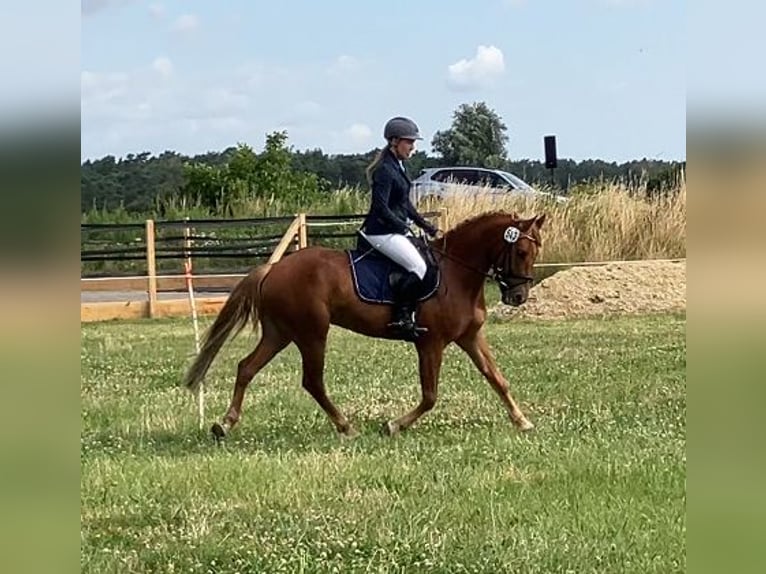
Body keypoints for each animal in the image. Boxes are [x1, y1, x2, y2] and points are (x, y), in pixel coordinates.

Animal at [184, 212, 544, 440]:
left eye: (534, 252)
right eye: (521, 251)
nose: (518, 296)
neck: (456, 274)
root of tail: (273, 269)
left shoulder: (470, 336)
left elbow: (497, 379)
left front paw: (523, 421)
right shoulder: (431, 343)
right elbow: (430, 396)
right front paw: (394, 425)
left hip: (280, 333)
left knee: (247, 367)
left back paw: (225, 424)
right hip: (312, 333)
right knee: (312, 381)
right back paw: (346, 427)